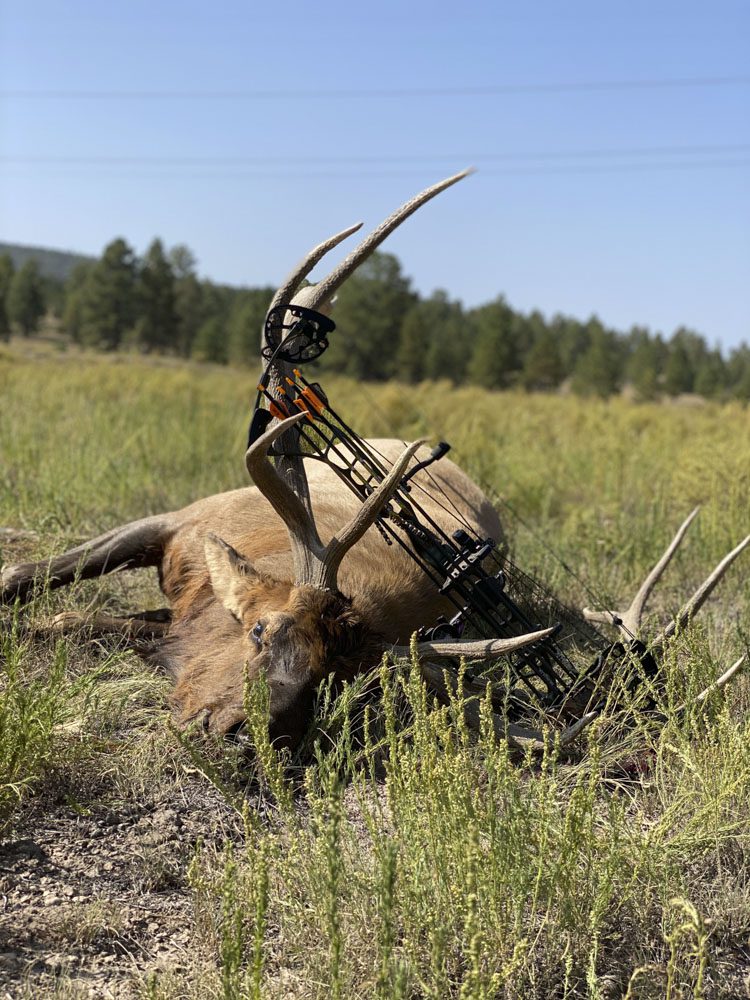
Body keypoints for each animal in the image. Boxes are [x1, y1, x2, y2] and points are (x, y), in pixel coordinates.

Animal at [1, 172, 748, 752]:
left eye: (337, 680)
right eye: (261, 629)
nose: (248, 736)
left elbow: (90, 623)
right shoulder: (174, 521)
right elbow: (28, 577)